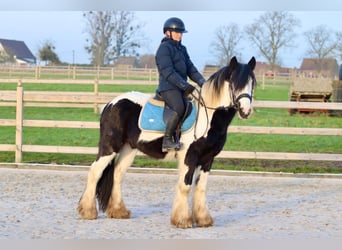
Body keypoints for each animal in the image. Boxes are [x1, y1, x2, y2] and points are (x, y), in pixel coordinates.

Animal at [77, 56, 256, 229]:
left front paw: (203, 220)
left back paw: (119, 211)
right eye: (234, 83)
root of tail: (111, 104)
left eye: (252, 83)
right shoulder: (189, 157)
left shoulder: (207, 159)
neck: (208, 117)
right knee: (95, 171)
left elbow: (200, 187)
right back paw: (88, 211)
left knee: (117, 174)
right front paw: (183, 220)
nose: (245, 111)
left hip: (129, 149)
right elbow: (185, 186)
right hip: (110, 146)